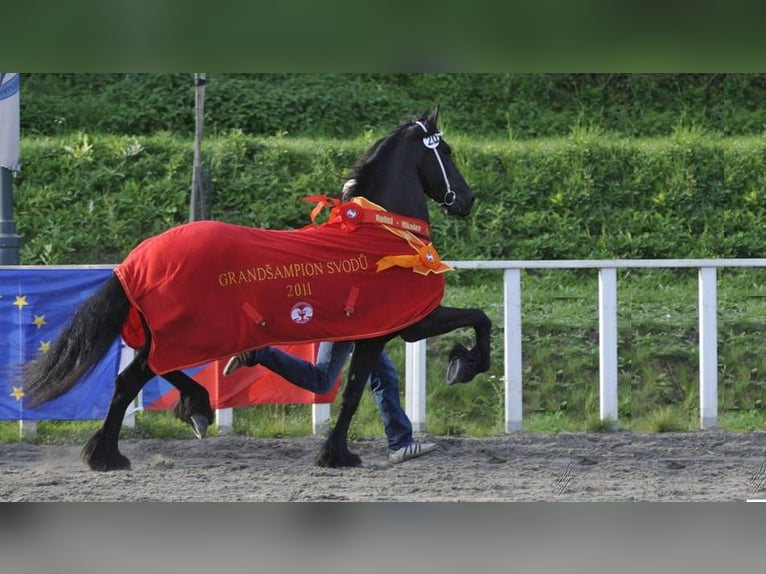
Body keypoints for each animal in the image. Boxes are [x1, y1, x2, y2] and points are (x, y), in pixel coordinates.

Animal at [24, 109, 496, 472]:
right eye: (446, 153)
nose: (467, 199)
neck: (381, 233)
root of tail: (135, 262)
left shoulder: (377, 332)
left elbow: (354, 387)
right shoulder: (405, 325)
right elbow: (476, 322)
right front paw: (464, 365)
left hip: (174, 334)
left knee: (144, 373)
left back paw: (187, 410)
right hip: (188, 333)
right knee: (132, 380)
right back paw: (115, 452)